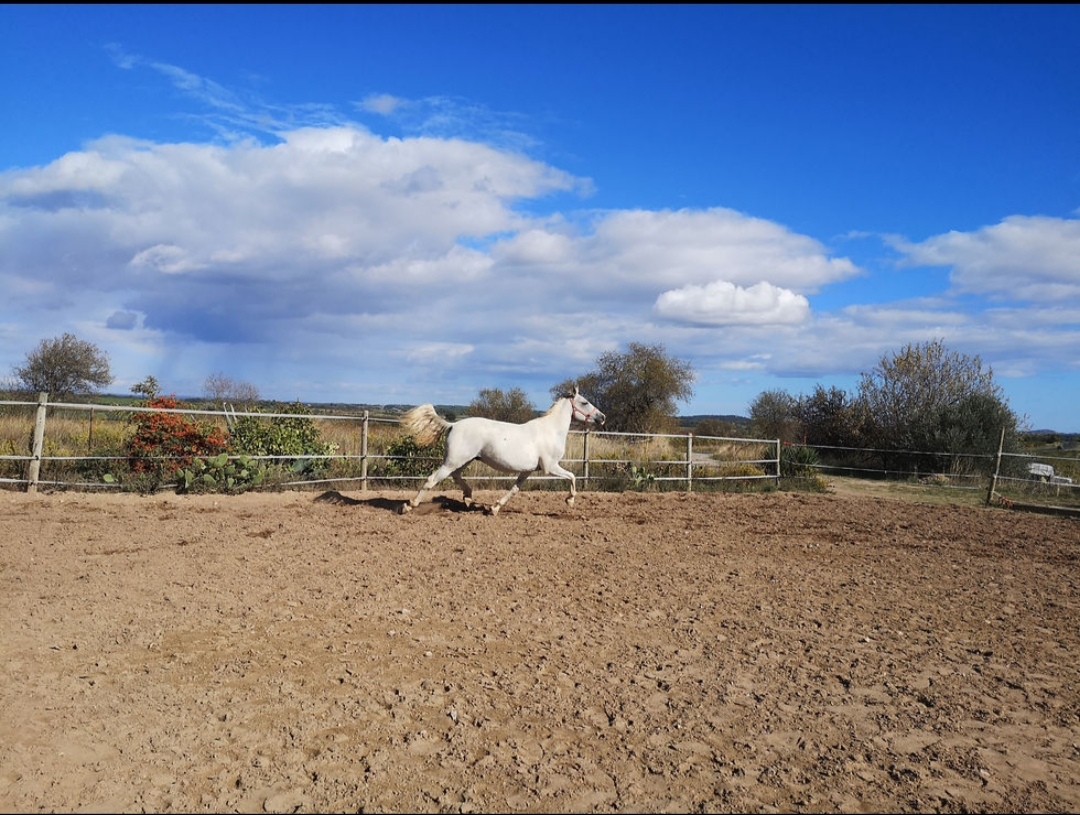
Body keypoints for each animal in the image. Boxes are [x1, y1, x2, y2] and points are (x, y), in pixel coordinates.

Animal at [397, 386, 606, 516]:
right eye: (584, 402)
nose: (602, 417)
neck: (551, 430)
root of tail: (453, 425)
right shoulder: (551, 467)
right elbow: (572, 477)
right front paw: (569, 501)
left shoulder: (527, 471)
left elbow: (514, 489)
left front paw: (494, 508)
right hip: (452, 462)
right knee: (432, 480)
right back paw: (408, 507)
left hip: (463, 460)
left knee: (456, 476)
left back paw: (468, 498)